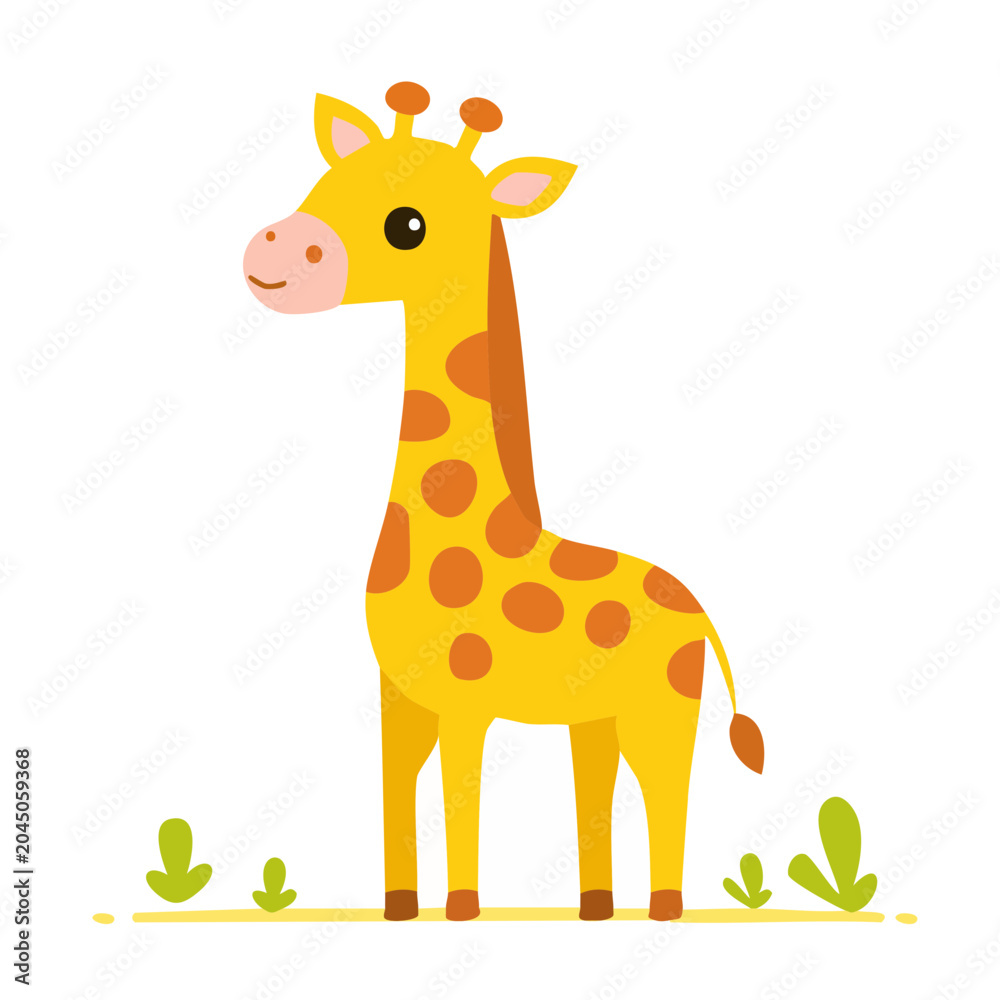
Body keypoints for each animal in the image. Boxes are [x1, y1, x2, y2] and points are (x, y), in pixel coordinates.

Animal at [243, 82, 763, 923]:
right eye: (326, 183)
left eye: (408, 225)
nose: (271, 251)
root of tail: (698, 609)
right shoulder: (397, 697)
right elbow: (396, 797)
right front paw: (398, 909)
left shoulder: (465, 700)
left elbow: (461, 798)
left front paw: (461, 909)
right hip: (596, 720)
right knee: (600, 793)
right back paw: (595, 909)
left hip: (661, 710)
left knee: (667, 791)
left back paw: (663, 910)